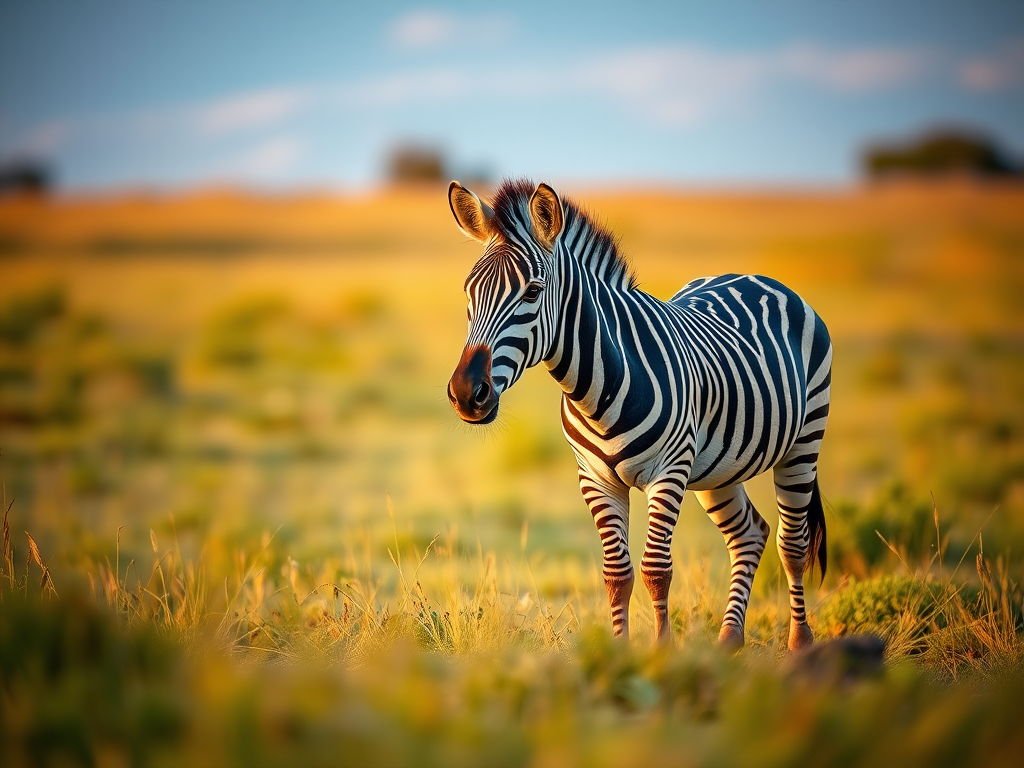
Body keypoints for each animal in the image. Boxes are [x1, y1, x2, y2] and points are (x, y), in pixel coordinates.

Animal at [446, 179, 831, 651]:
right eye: (469, 292)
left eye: (533, 292)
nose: (466, 393)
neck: (598, 390)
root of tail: (756, 277)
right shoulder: (596, 477)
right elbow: (617, 573)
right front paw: (619, 651)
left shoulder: (670, 469)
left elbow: (656, 569)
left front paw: (661, 652)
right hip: (720, 468)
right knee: (750, 534)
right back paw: (729, 640)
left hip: (804, 441)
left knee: (792, 544)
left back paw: (800, 642)